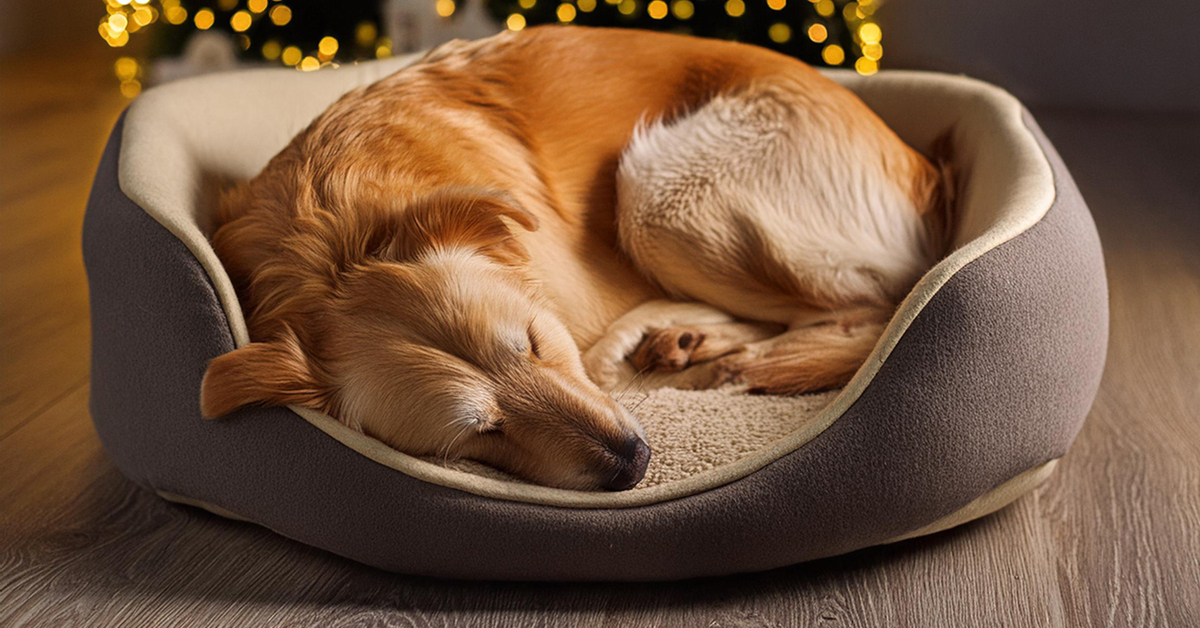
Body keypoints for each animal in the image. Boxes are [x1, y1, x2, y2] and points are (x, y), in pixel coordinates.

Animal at [199, 27, 955, 492]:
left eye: (535, 343)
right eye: (483, 432)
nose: (634, 461)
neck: (335, 239)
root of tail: (923, 167)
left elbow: (599, 360)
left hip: (657, 190)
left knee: (865, 305)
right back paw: (693, 341)